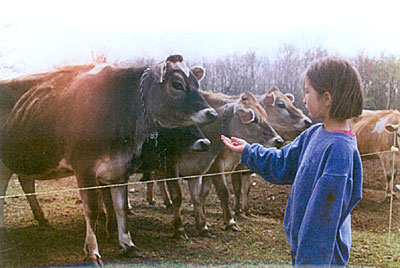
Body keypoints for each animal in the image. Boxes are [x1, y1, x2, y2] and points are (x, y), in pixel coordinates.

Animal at [0, 55, 219, 264]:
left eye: (196, 83)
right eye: (177, 84)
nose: (212, 113)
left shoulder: (119, 169)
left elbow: (120, 207)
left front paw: (128, 244)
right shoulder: (84, 169)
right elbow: (92, 210)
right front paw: (92, 252)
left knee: (26, 182)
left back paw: (42, 220)